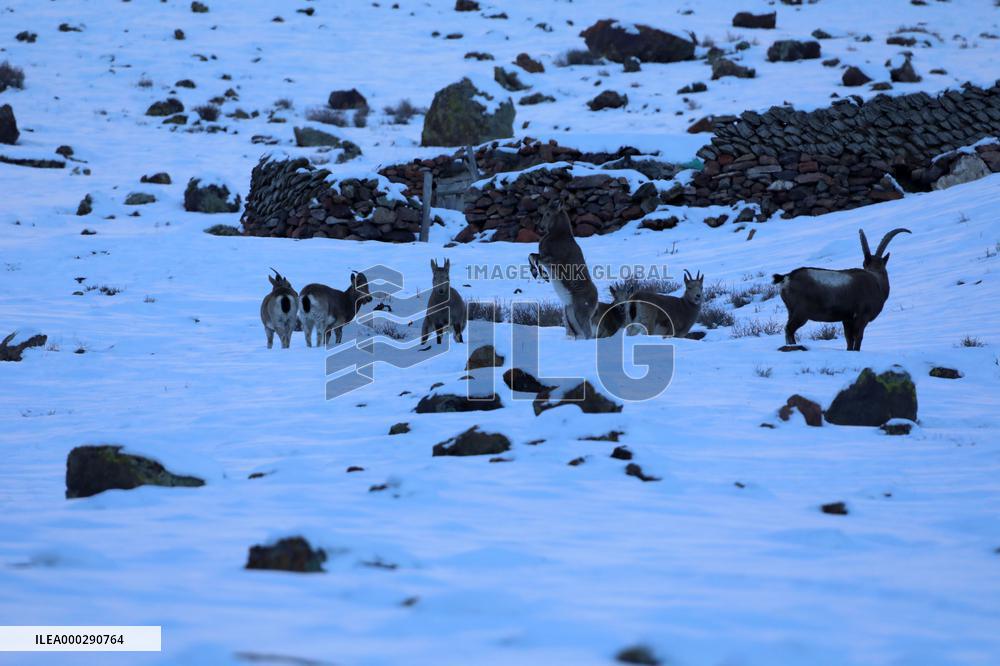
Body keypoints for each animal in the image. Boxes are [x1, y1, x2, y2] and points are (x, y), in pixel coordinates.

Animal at [772, 227, 910, 351]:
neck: (876, 281)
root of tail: (787, 277)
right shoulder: (862, 317)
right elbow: (858, 338)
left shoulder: (847, 319)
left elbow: (849, 339)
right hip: (801, 312)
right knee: (789, 329)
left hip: (791, 311)